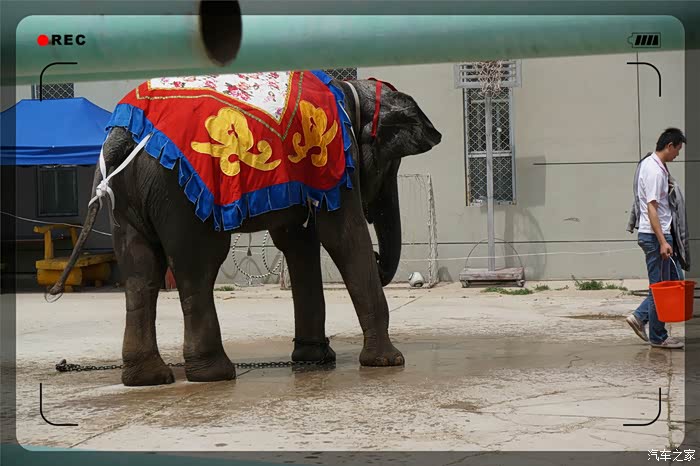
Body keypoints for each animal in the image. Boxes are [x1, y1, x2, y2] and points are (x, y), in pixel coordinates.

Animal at [49, 71, 442, 386]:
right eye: (392, 165)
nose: (379, 258)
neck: (351, 91)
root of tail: (124, 136)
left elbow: (299, 241)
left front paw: (315, 360)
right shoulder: (330, 156)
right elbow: (343, 236)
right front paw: (388, 362)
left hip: (125, 198)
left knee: (140, 273)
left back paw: (150, 379)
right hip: (179, 192)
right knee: (199, 266)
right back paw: (215, 374)